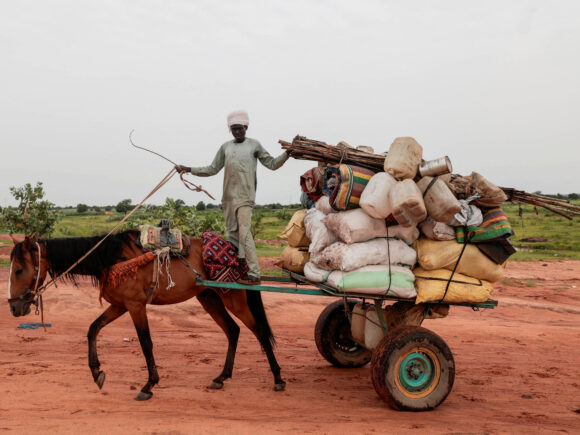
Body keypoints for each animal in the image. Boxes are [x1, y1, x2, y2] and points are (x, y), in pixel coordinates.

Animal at [4, 232, 286, 402]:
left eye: (19, 270)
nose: (15, 308)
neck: (112, 259)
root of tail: (237, 252)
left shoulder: (136, 305)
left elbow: (146, 343)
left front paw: (148, 385)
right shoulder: (120, 305)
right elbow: (93, 329)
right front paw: (97, 372)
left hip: (233, 296)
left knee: (259, 331)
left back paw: (278, 379)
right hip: (209, 297)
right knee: (232, 330)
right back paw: (221, 377)